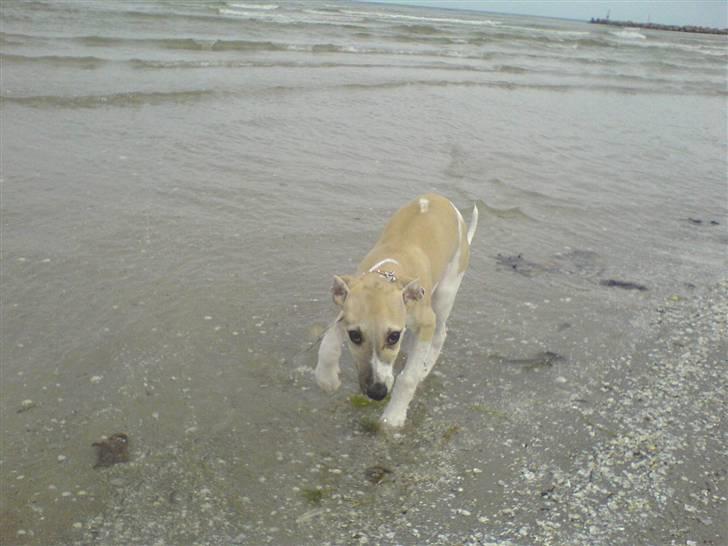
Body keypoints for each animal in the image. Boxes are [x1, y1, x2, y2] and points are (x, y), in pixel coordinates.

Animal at [312, 191, 478, 424]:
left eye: (393, 337)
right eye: (354, 336)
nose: (376, 392)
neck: (387, 273)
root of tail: (441, 199)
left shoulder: (426, 321)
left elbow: (408, 378)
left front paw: (393, 417)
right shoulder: (344, 310)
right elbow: (327, 343)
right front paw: (326, 378)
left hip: (446, 294)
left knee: (441, 333)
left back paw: (425, 367)